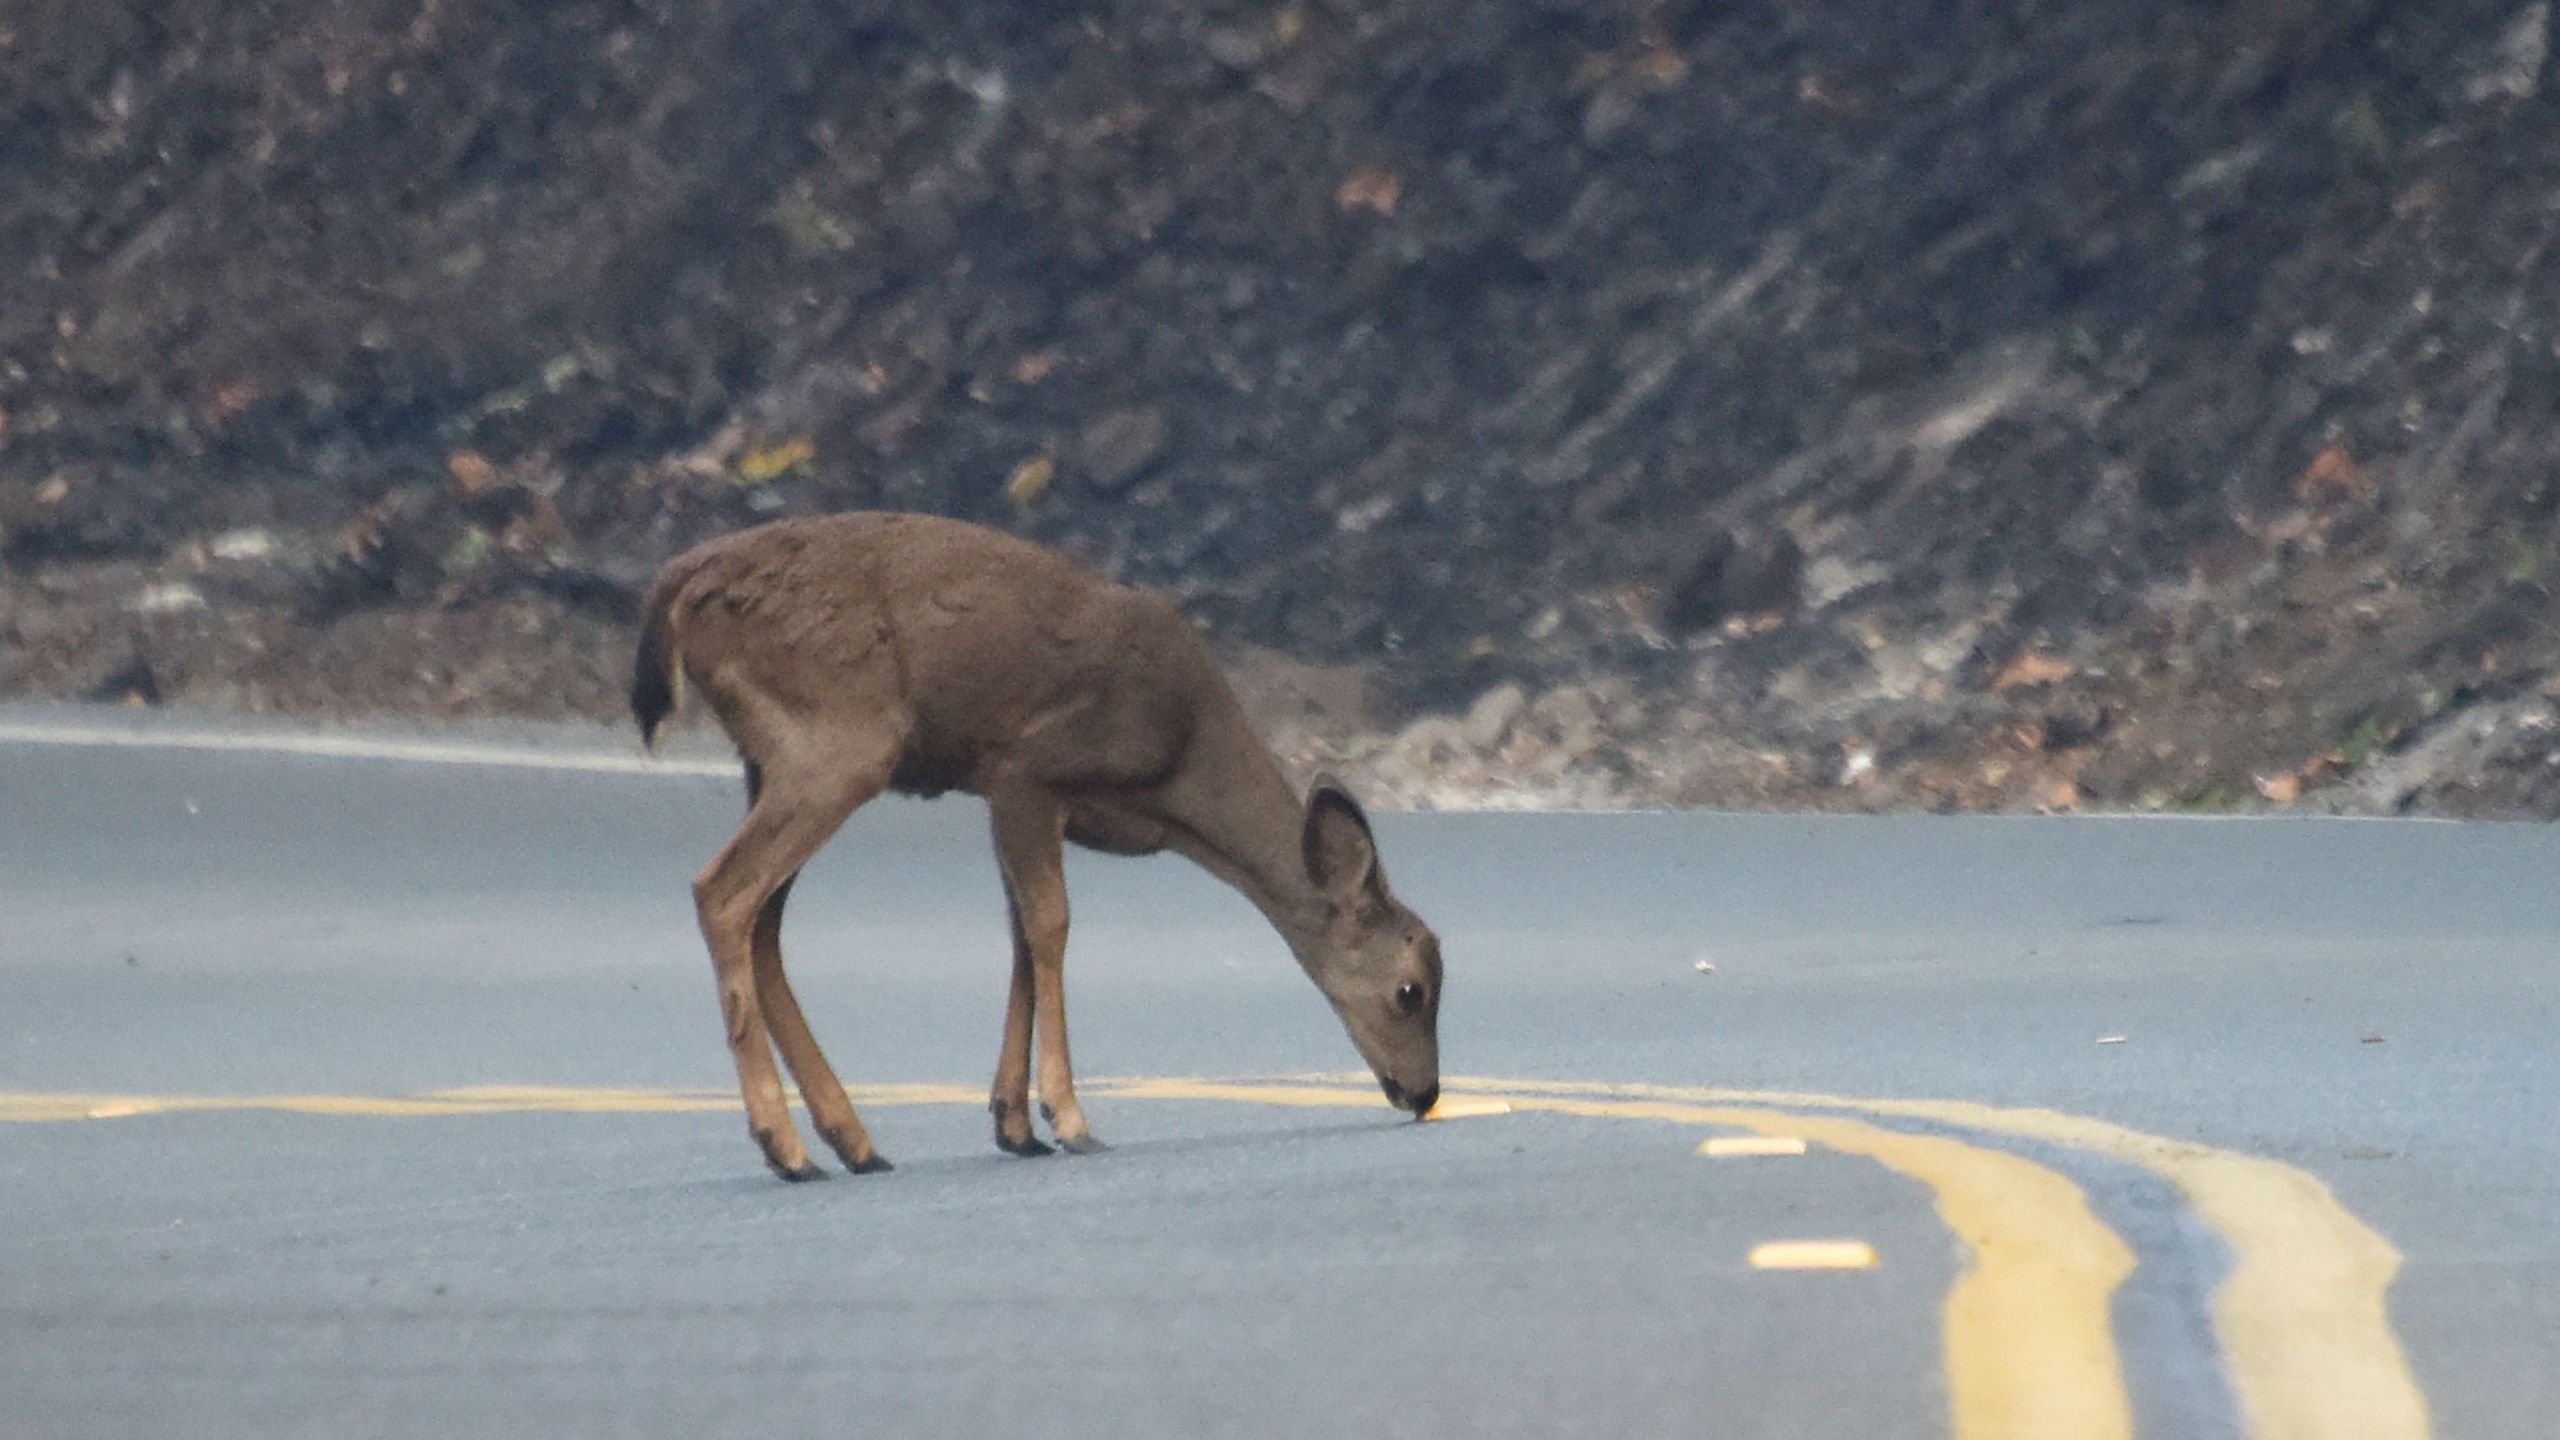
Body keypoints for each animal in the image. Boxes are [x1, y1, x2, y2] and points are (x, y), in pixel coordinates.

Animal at [629, 509, 1443, 1173]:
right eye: (1412, 991)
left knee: (764, 918)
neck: (1179, 770)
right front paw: (1070, 1119)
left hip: (771, 759)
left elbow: (1020, 936)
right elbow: (1051, 926)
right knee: (723, 890)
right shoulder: (1026, 768)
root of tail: (678, 585)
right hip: (840, 742)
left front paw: (1013, 1123)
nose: (1426, 1092)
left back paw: (850, 1141)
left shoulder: (1010, 796)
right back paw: (785, 1146)